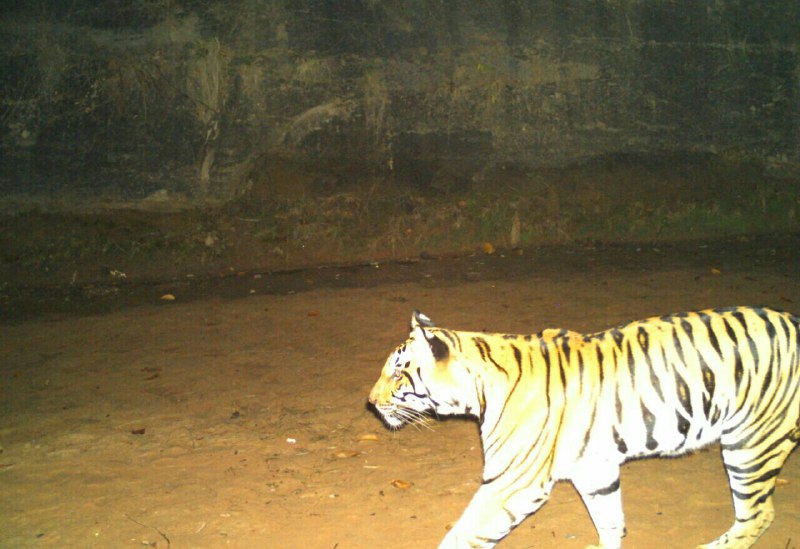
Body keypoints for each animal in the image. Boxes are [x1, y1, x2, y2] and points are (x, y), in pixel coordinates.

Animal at [368, 306, 800, 549]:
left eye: (397, 372)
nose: (370, 402)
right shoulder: (596, 469)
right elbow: (610, 519)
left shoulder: (513, 483)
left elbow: (464, 534)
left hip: (751, 444)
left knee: (759, 515)